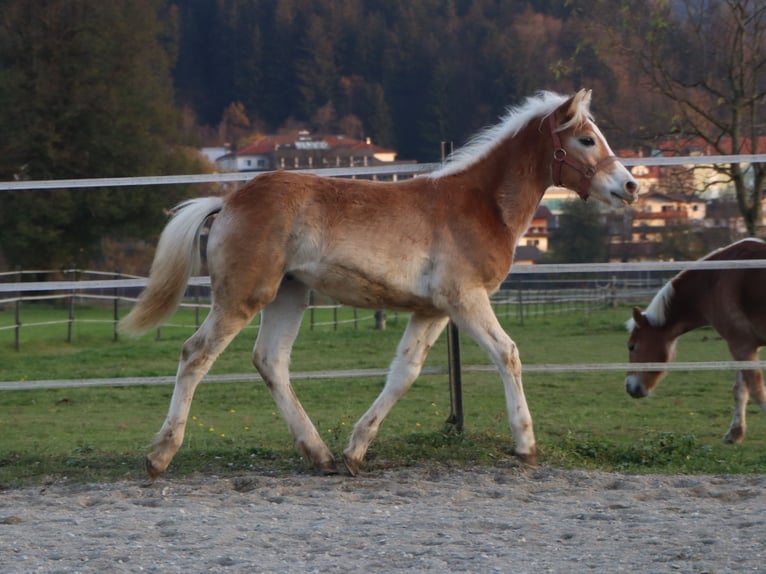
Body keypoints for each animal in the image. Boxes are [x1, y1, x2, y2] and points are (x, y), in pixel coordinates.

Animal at [123, 90, 640, 480]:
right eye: (586, 139)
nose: (631, 186)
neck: (480, 203)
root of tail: (228, 200)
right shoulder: (465, 299)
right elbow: (506, 353)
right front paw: (526, 446)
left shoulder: (432, 310)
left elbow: (404, 373)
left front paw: (355, 451)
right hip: (242, 296)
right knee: (196, 354)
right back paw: (159, 456)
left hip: (289, 294)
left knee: (270, 361)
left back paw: (320, 454)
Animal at [628, 238, 766, 446]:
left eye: (632, 346)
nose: (630, 387)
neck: (714, 280)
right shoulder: (745, 344)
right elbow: (741, 390)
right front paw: (734, 433)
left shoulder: (741, 344)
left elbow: (757, 391)